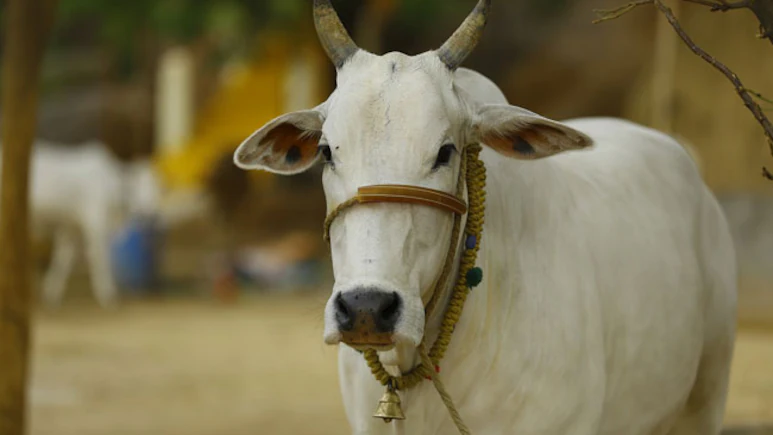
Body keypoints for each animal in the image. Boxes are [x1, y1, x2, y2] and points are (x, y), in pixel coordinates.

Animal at [1, 140, 162, 308]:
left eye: (158, 186)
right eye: (135, 187)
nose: (152, 213)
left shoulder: (71, 227)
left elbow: (63, 259)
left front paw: (51, 293)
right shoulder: (95, 225)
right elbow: (100, 259)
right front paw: (108, 295)